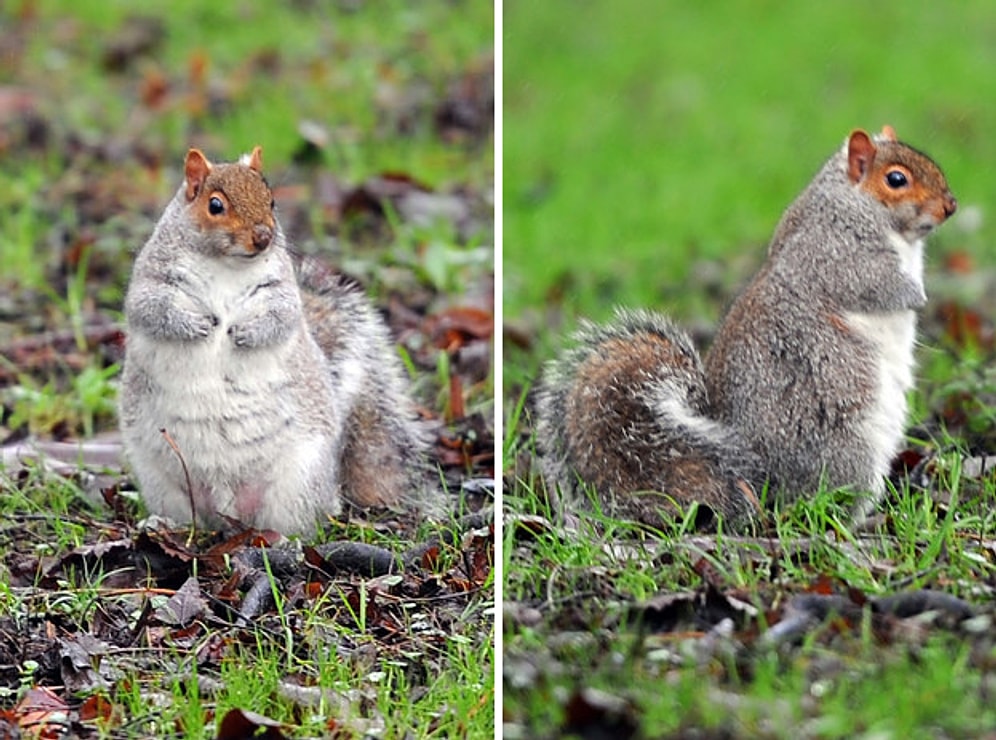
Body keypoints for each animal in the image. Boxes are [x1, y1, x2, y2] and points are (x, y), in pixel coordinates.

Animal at [119, 146, 432, 536]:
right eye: (215, 205)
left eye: (271, 201)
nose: (263, 236)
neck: (226, 264)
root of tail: (229, 512)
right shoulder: (153, 280)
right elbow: (150, 310)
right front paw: (197, 325)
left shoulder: (281, 292)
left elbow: (281, 318)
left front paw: (244, 332)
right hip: (162, 479)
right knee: (188, 518)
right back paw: (162, 524)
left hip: (297, 480)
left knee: (297, 522)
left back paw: (283, 539)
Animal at [536, 129, 956, 532]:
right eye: (896, 179)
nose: (950, 205)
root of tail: (758, 485)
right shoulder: (835, 256)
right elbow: (878, 285)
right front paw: (919, 295)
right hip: (845, 448)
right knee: (820, 508)